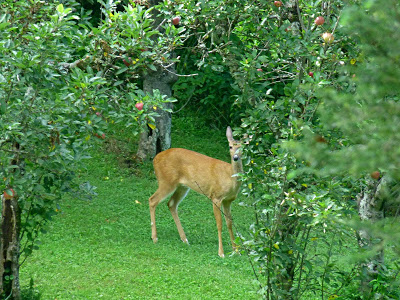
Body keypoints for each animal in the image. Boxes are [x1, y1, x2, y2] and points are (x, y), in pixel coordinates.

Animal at [148, 126, 242, 258]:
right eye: (230, 146)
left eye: (242, 146)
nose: (235, 157)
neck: (230, 177)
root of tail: (155, 158)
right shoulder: (216, 196)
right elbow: (219, 224)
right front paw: (221, 253)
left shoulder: (228, 200)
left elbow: (230, 222)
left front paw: (236, 251)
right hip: (166, 180)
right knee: (152, 200)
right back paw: (155, 238)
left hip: (182, 186)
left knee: (171, 204)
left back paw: (185, 239)